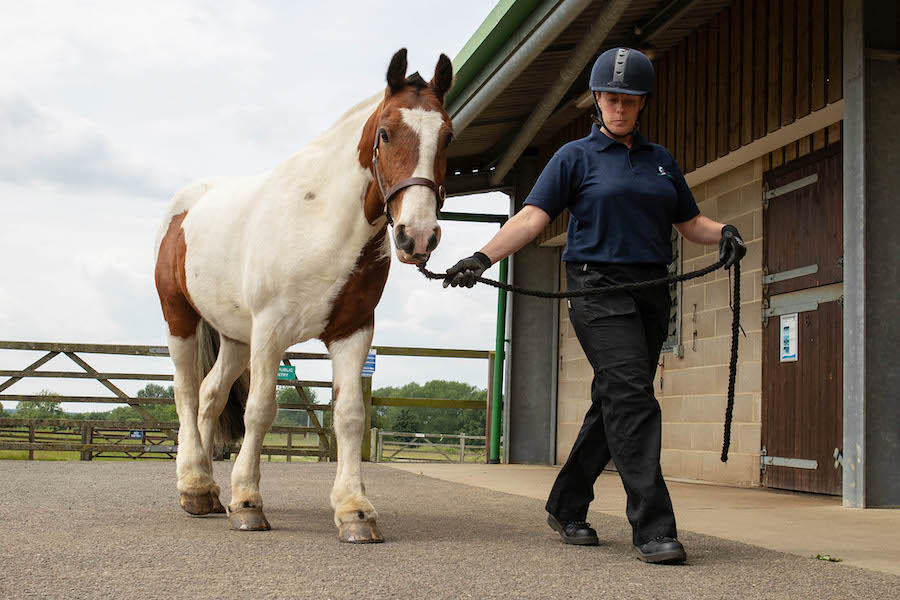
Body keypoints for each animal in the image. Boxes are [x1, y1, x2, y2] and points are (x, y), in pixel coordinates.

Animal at [153, 49, 458, 540]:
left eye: (447, 135)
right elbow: (260, 410)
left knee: (209, 395)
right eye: (386, 133)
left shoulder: (352, 332)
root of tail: (185, 207)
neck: (321, 222)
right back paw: (195, 488)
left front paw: (354, 509)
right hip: (180, 317)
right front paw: (247, 502)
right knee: (185, 391)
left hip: (235, 337)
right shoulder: (270, 330)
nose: (418, 236)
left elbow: (350, 415)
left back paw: (210, 489)